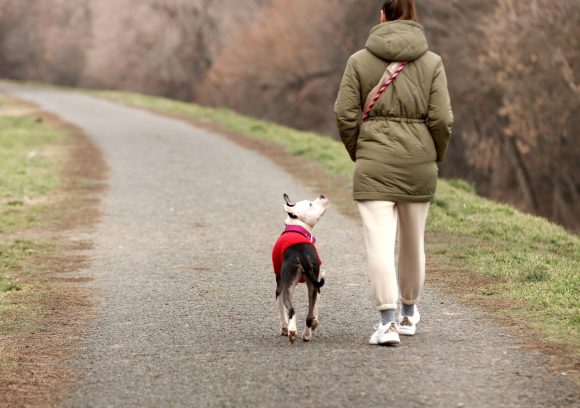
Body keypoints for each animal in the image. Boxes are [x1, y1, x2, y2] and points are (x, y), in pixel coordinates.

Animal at [270, 193, 328, 342]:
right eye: (310, 204)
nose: (322, 195)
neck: (297, 227)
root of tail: (302, 255)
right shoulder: (316, 285)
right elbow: (315, 311)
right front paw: (315, 323)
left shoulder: (279, 286)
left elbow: (281, 311)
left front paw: (284, 329)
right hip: (313, 285)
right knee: (309, 316)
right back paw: (307, 334)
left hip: (287, 287)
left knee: (291, 310)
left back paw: (292, 331)